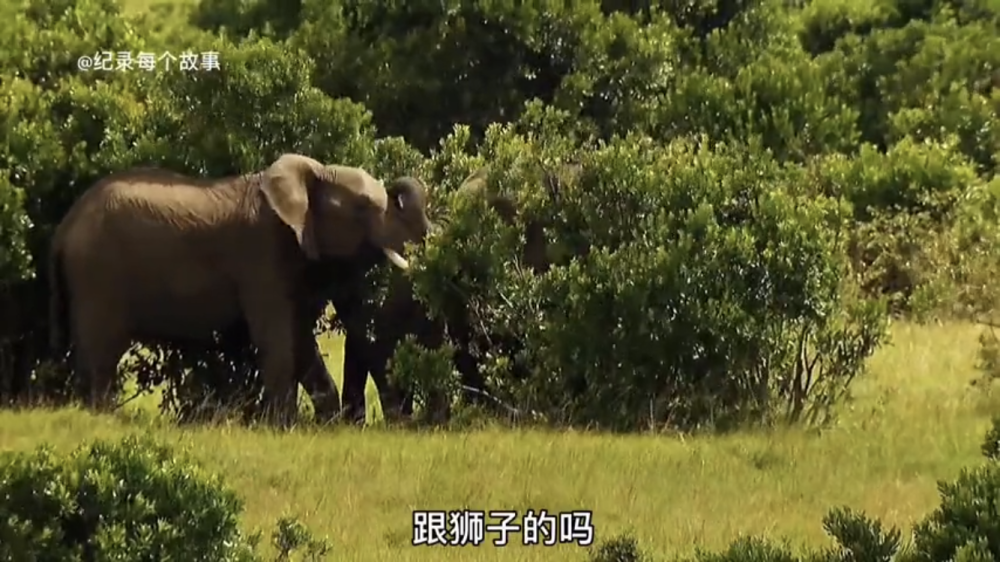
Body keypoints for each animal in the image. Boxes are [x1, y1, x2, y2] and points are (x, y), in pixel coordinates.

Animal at [47, 153, 430, 424]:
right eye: (363, 207)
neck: (315, 172)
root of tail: (64, 227)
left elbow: (299, 337)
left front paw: (326, 424)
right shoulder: (261, 254)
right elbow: (276, 337)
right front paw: (283, 427)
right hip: (98, 272)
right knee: (102, 348)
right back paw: (102, 415)